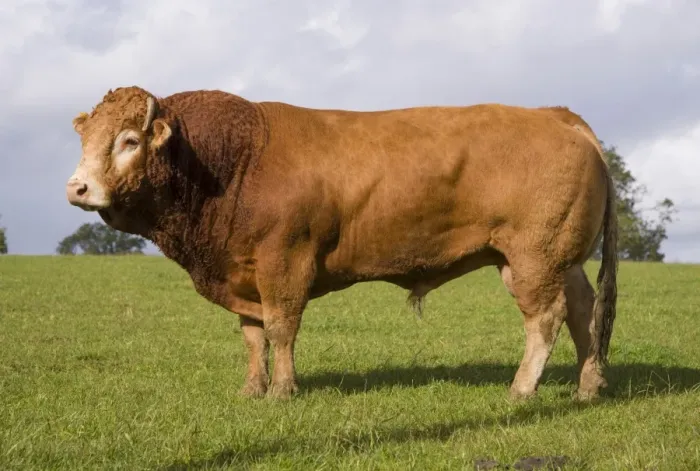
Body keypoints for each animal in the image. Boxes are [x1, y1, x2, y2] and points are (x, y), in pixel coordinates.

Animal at [65, 86, 618, 401]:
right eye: (85, 140)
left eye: (129, 141)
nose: (77, 188)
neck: (233, 161)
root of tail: (556, 114)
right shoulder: (240, 271)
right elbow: (253, 335)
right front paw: (251, 389)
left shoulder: (283, 263)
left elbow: (281, 328)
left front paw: (282, 391)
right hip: (560, 259)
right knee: (582, 310)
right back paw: (588, 386)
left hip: (532, 257)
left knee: (545, 317)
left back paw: (522, 390)